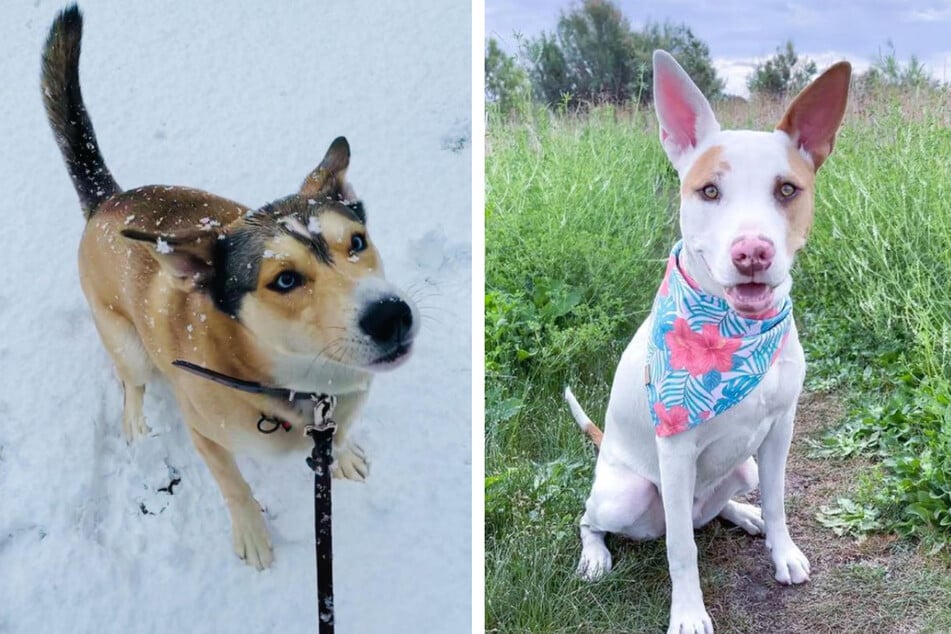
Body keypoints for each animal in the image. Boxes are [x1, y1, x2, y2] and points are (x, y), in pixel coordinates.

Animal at [40, 4, 420, 568]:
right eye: (284, 279)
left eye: (357, 241)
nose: (392, 316)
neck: (299, 382)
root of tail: (109, 199)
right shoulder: (205, 434)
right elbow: (234, 485)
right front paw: (252, 536)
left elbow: (342, 434)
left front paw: (344, 455)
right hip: (125, 343)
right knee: (131, 382)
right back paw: (134, 420)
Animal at [568, 50, 852, 632]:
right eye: (709, 191)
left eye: (787, 190)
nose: (752, 253)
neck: (737, 336)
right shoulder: (676, 452)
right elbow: (682, 549)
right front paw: (688, 614)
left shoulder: (781, 429)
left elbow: (779, 500)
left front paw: (782, 550)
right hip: (627, 491)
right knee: (594, 518)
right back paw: (595, 556)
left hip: (742, 464)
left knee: (715, 509)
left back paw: (744, 514)